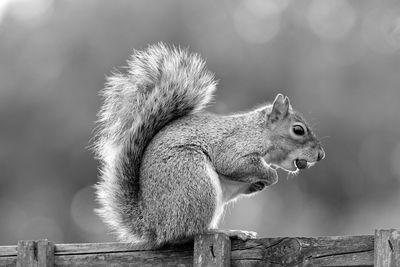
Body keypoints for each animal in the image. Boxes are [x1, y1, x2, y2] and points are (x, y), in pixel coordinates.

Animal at [91, 43, 324, 250]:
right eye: (298, 130)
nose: (321, 155)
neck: (260, 132)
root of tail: (155, 227)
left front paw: (258, 184)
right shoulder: (234, 146)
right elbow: (232, 163)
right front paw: (271, 175)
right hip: (193, 178)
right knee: (188, 232)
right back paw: (227, 232)